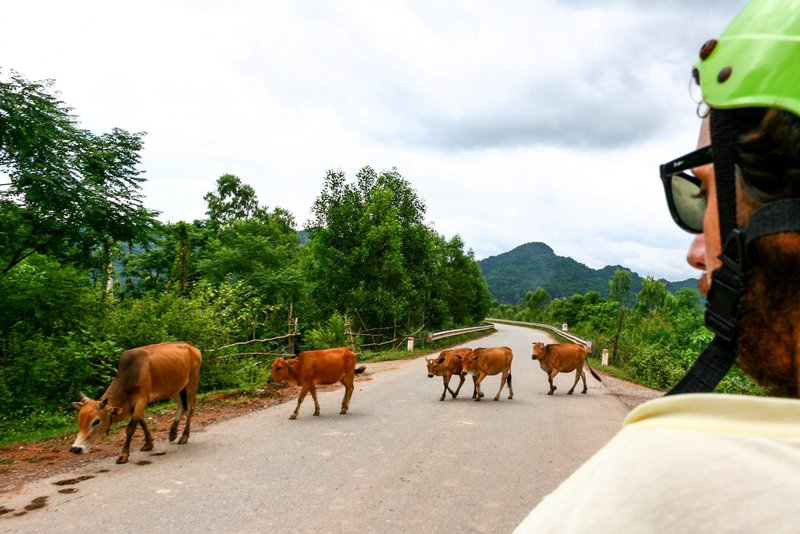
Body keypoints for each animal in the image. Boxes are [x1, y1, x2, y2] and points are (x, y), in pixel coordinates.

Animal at [71, 344, 203, 464]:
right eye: (79, 420)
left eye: (96, 421)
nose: (76, 448)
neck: (130, 375)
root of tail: (192, 347)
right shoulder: (134, 406)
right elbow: (142, 422)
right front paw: (148, 444)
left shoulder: (141, 401)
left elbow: (130, 428)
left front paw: (123, 455)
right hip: (176, 387)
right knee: (182, 407)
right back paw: (173, 433)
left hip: (192, 382)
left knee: (190, 408)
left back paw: (184, 436)